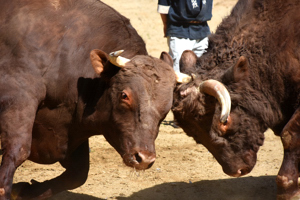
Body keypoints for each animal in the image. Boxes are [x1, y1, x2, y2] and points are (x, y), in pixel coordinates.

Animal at [0, 0, 176, 199]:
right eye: (124, 95)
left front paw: (23, 190)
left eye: (167, 108)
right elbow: (18, 153)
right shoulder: (19, 99)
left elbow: (78, 174)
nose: (144, 159)